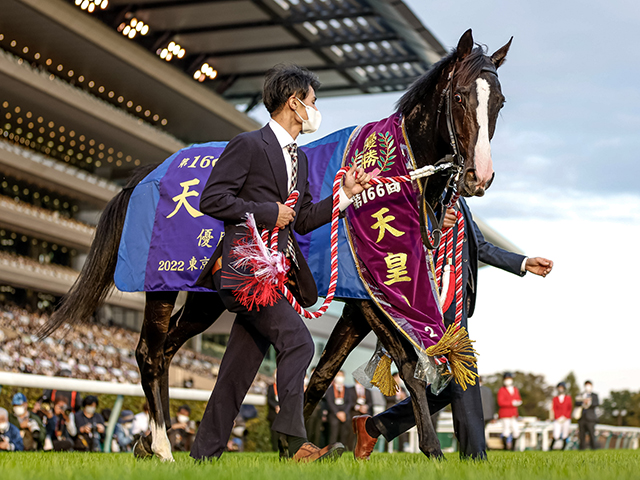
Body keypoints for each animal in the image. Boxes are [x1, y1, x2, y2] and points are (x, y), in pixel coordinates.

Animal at [41, 30, 510, 462]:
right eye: (462, 96)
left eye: (499, 103)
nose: (480, 177)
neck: (398, 169)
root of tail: (148, 173)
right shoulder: (374, 294)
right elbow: (410, 368)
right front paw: (432, 449)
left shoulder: (361, 301)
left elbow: (321, 375)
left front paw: (295, 445)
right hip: (162, 280)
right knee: (150, 353)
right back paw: (161, 445)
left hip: (207, 294)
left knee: (170, 347)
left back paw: (155, 440)